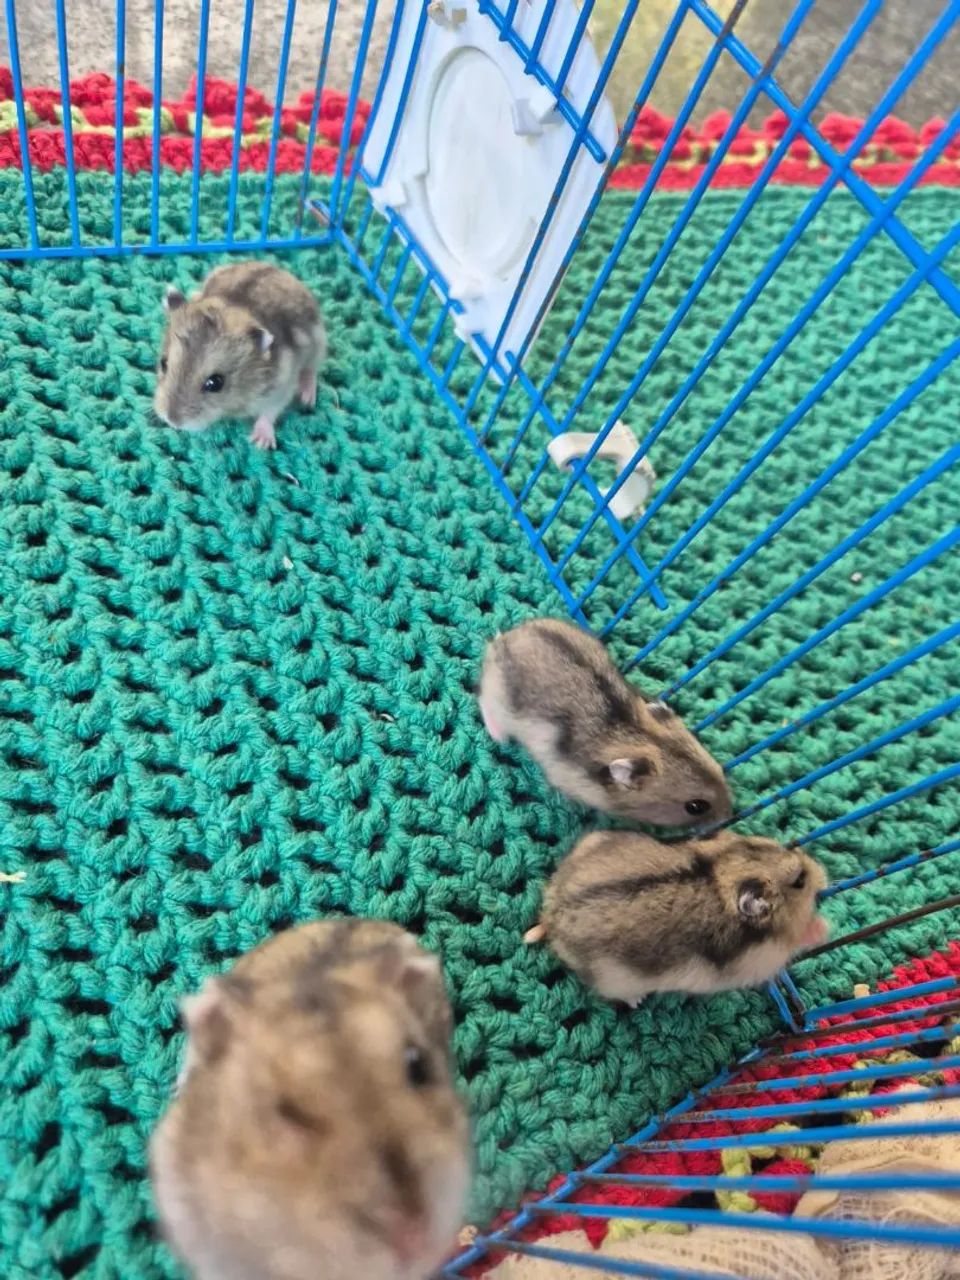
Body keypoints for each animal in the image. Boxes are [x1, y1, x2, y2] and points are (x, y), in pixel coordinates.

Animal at [154, 261, 326, 450]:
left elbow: (270, 412)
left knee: (311, 370)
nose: (172, 421)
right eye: (163, 363)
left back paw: (307, 398)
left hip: (318, 344)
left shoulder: (281, 387)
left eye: (215, 383)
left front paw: (260, 443)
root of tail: (282, 271)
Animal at [478, 618, 731, 827]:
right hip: (498, 701)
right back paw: (499, 737)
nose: (729, 813)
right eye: (695, 807)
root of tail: (501, 640)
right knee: (483, 701)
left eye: (720, 769)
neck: (638, 734)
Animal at [524, 830, 828, 1006]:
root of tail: (552, 914)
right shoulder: (763, 961)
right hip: (614, 980)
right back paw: (637, 1001)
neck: (719, 880)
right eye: (800, 880)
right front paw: (825, 926)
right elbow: (796, 943)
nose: (823, 872)